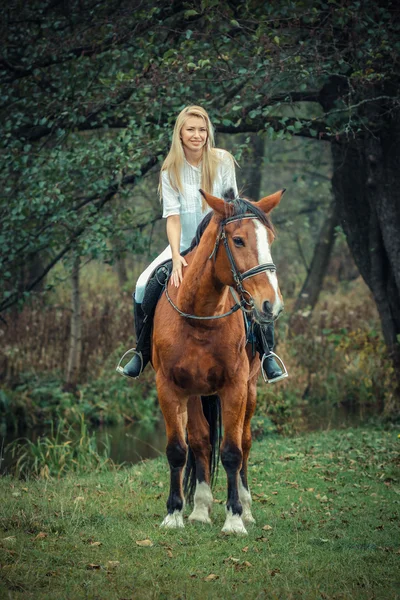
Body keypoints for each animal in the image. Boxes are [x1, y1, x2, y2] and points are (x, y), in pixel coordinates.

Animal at [151, 189, 284, 536]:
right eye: (237, 240)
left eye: (270, 239)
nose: (272, 305)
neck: (199, 315)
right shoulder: (170, 387)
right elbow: (179, 449)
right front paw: (174, 513)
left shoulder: (234, 387)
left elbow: (232, 452)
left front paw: (234, 518)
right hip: (196, 392)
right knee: (200, 443)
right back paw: (199, 508)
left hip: (250, 389)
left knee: (245, 443)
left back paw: (246, 508)